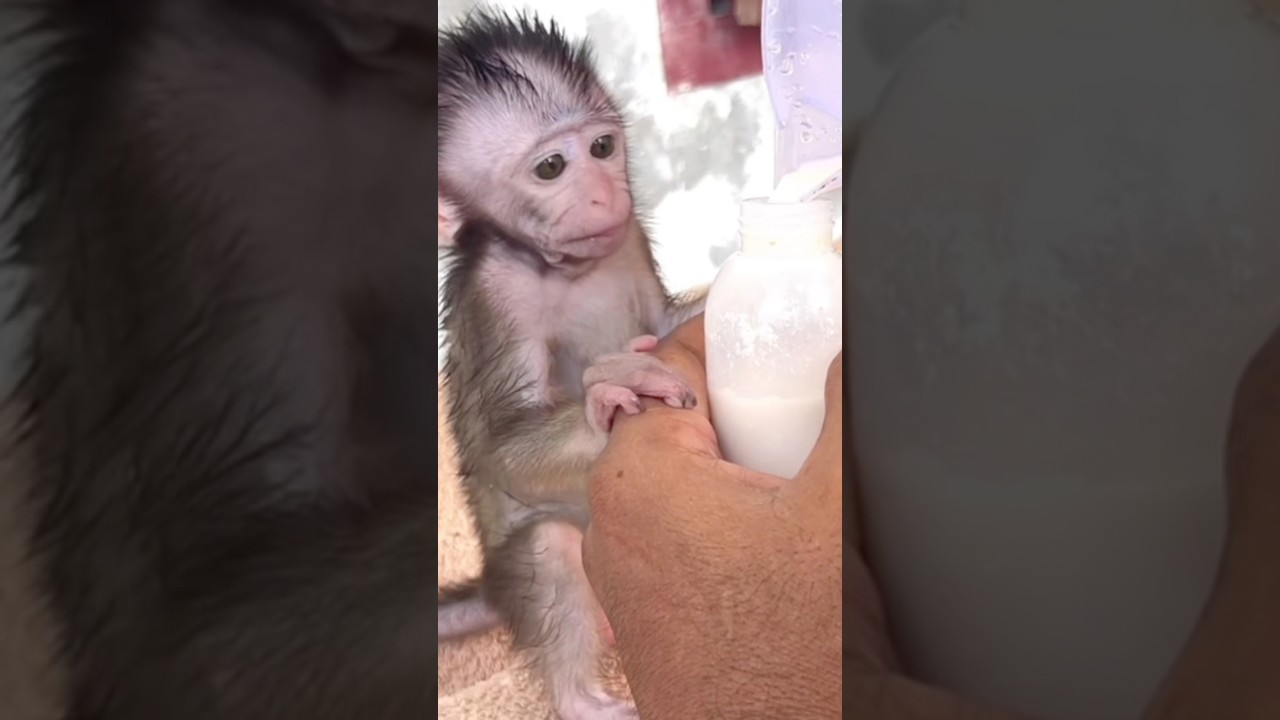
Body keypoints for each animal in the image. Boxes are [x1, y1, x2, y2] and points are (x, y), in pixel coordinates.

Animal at [435, 9, 707, 720]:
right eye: (552, 166)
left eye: (603, 149)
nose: (604, 193)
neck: (564, 268)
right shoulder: (497, 293)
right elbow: (502, 446)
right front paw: (603, 401)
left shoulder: (629, 236)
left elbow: (664, 325)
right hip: (522, 565)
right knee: (550, 547)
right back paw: (582, 699)